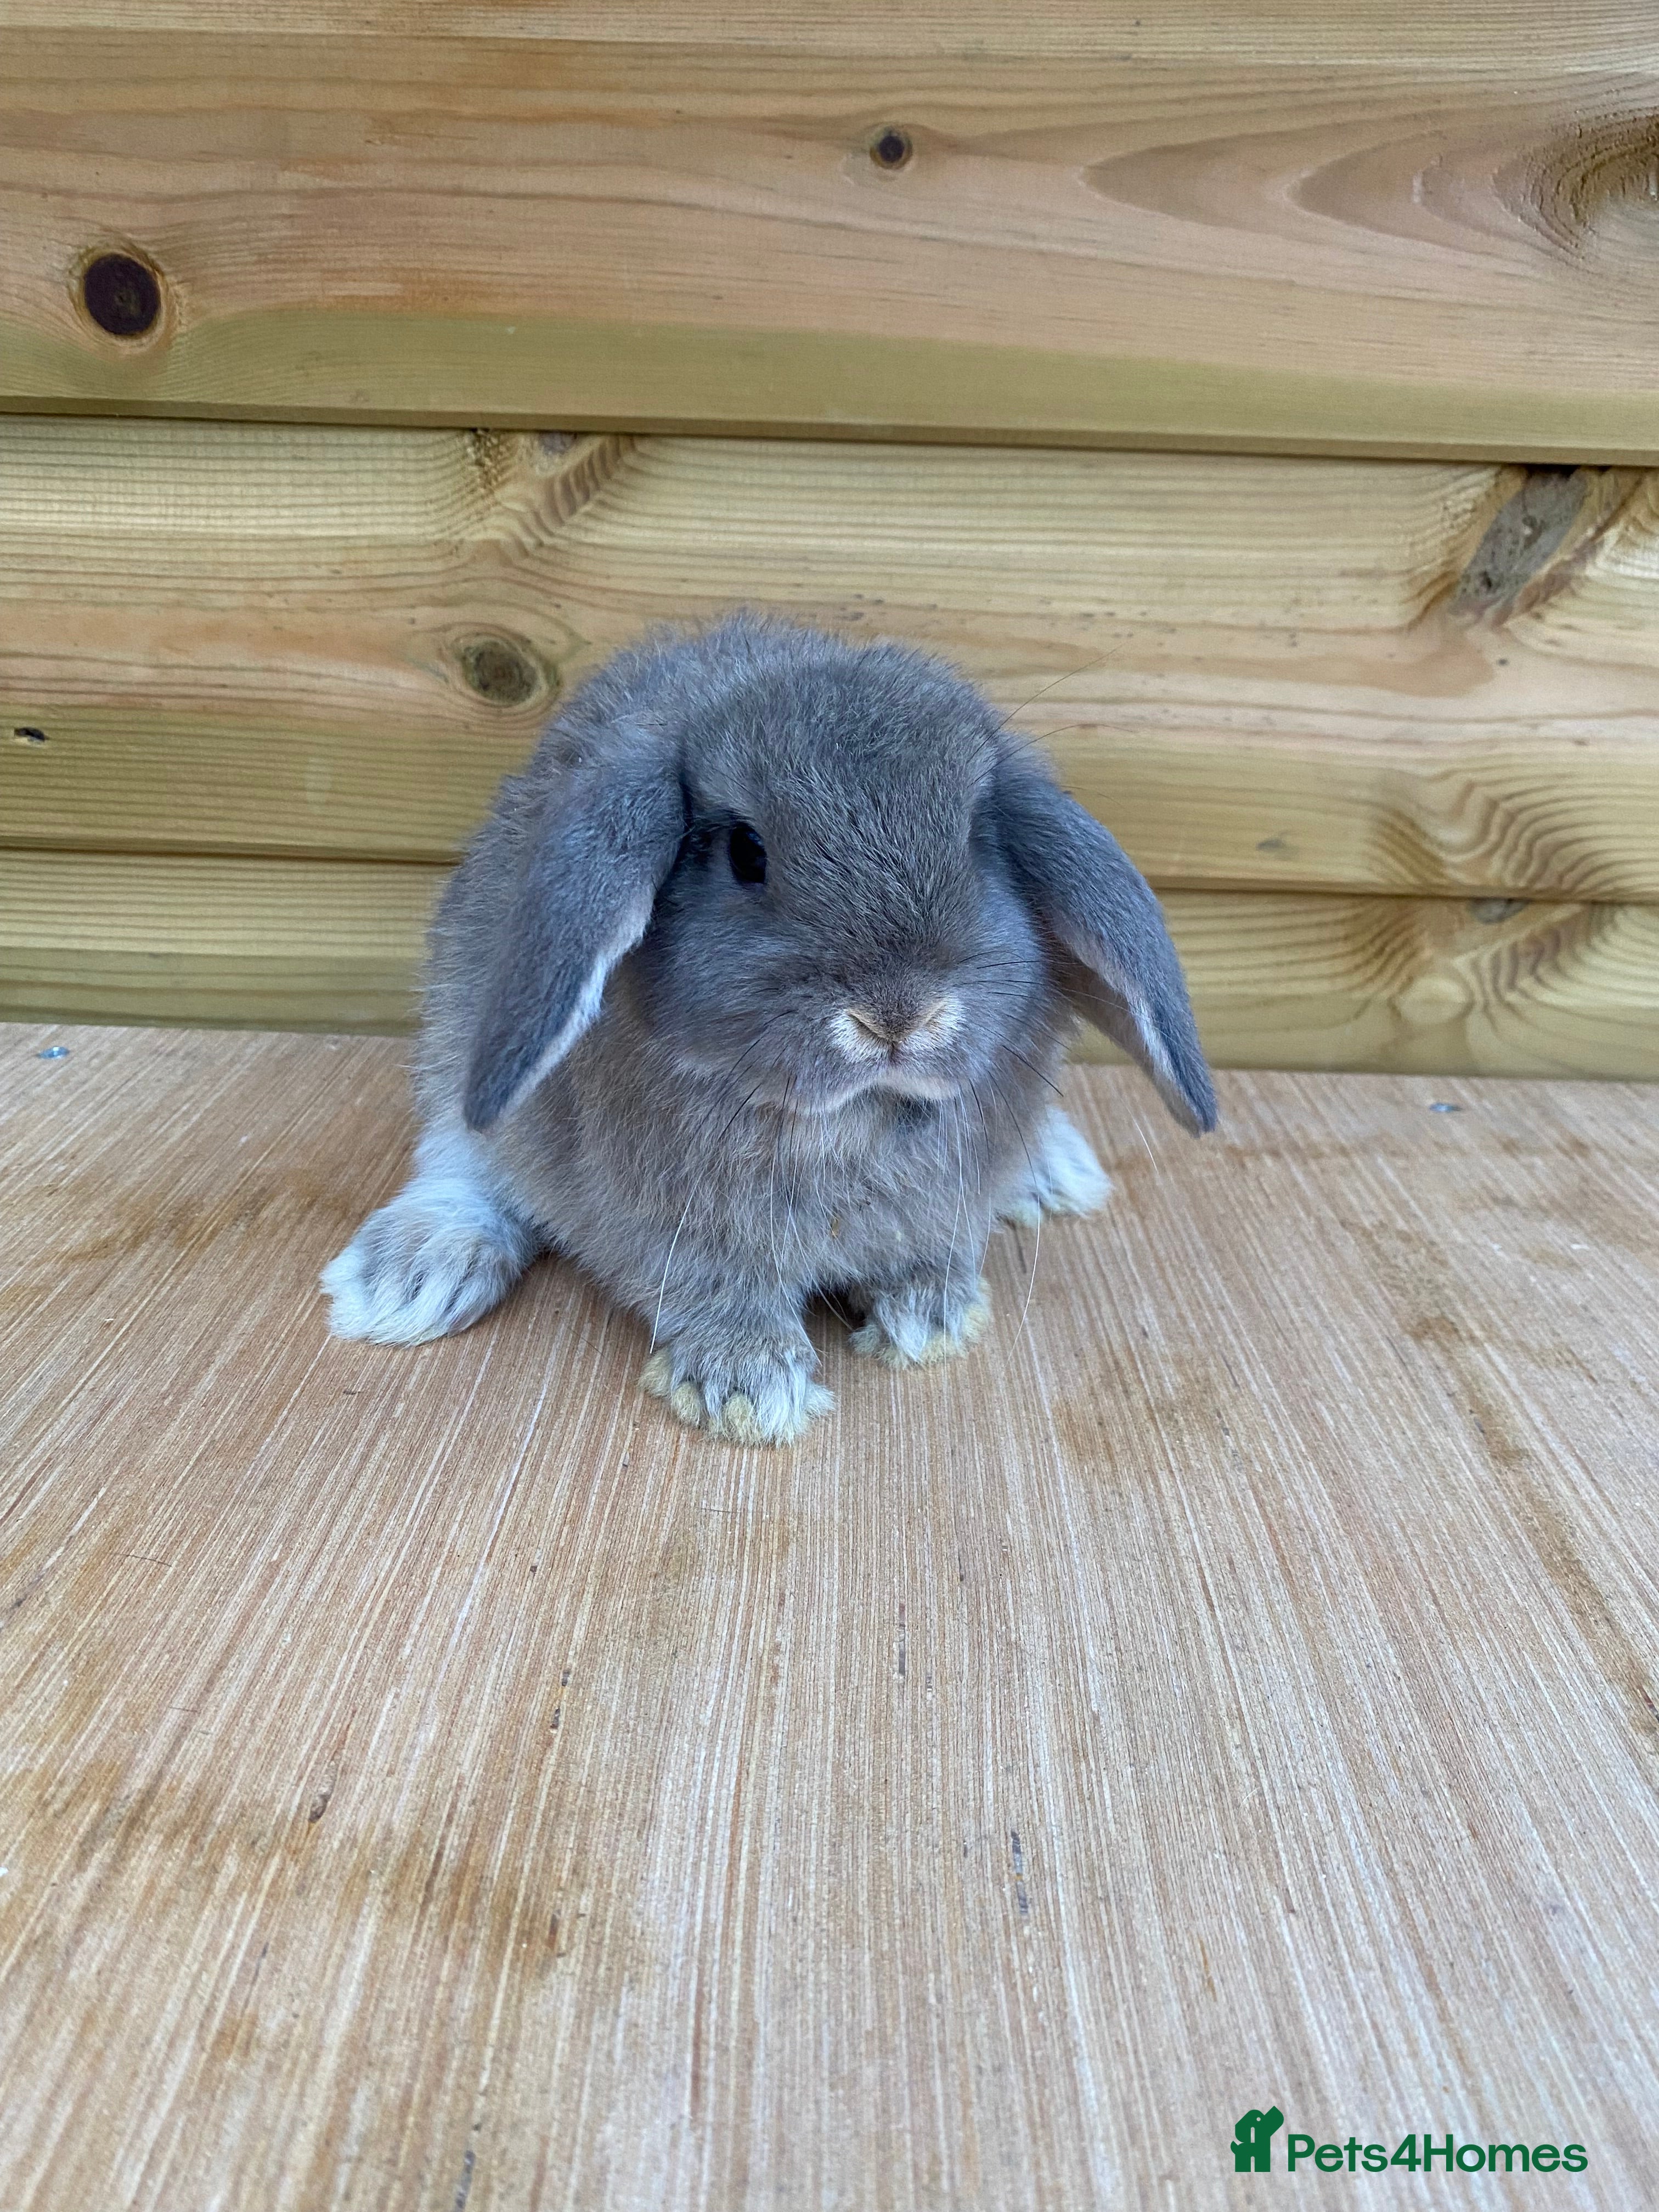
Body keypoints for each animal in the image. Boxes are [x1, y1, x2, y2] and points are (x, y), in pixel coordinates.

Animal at [321, 615, 1215, 1443]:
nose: (898, 1016)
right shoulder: (673, 1230)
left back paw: (1054, 1174)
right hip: (459, 1028)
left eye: (973, 839)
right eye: (747, 853)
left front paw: (930, 1315)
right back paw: (409, 1278)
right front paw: (747, 1384)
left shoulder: (946, 1203)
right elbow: (711, 1292)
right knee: (460, 1157)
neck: (850, 1122)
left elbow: (933, 1255)